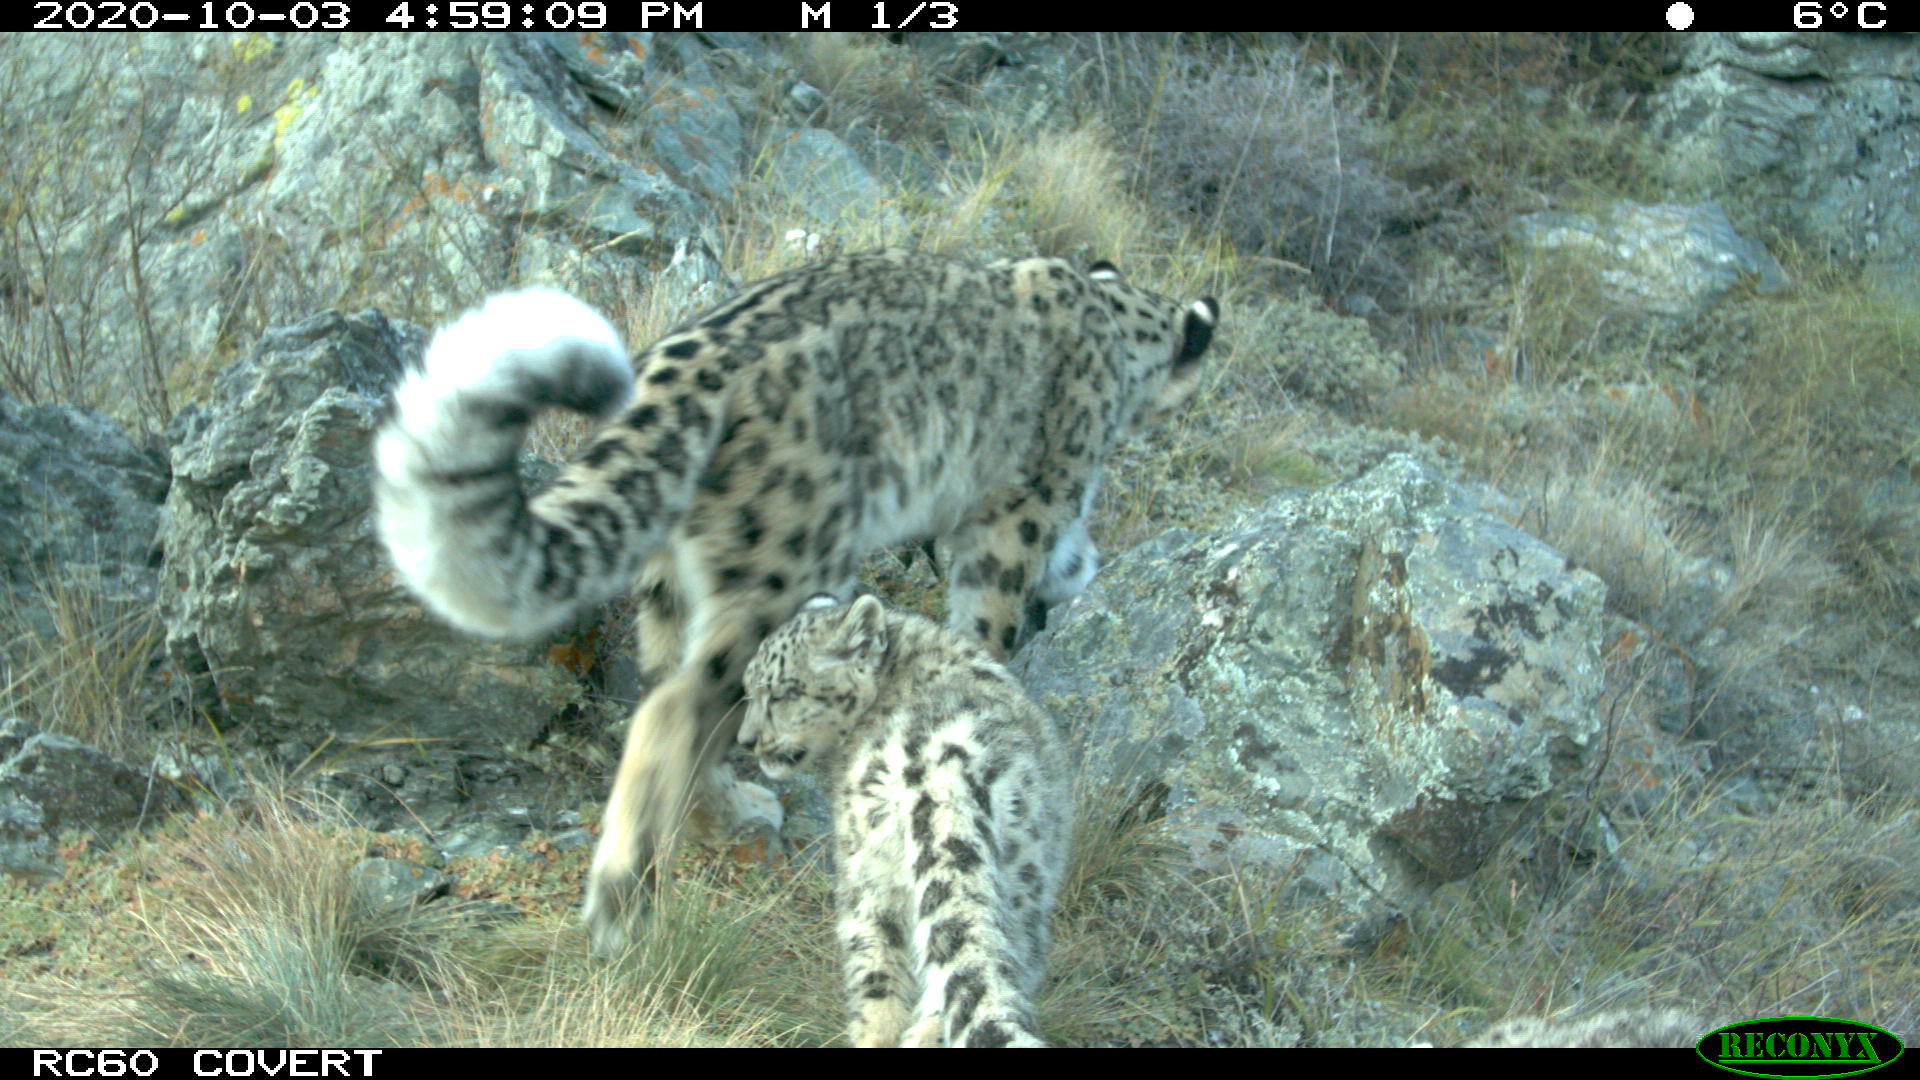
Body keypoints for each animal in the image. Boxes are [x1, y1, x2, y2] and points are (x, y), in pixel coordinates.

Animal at [374, 245, 1213, 949]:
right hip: (788, 567)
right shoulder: (1015, 517)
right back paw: (625, 902)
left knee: (669, 692)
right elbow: (990, 623)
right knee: (678, 709)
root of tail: (677, 364)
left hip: (673, 578)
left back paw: (726, 817)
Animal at [737, 588, 1075, 1045]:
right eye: (749, 689)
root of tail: (945, 771)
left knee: (878, 980)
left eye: (781, 694)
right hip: (1020, 881)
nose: (746, 740)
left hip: (868, 877)